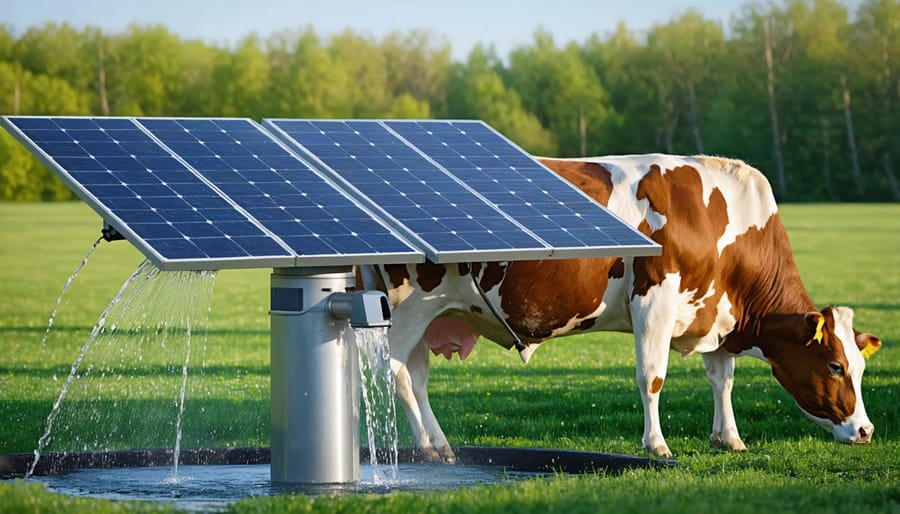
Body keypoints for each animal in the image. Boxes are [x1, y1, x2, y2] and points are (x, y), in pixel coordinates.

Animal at [356, 152, 880, 456]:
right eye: (835, 366)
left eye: (860, 367)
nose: (866, 431)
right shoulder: (655, 299)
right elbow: (652, 377)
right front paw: (657, 445)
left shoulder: (715, 315)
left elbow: (722, 380)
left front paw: (729, 438)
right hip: (411, 307)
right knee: (396, 371)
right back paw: (428, 448)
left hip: (429, 316)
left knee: (417, 375)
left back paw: (440, 445)